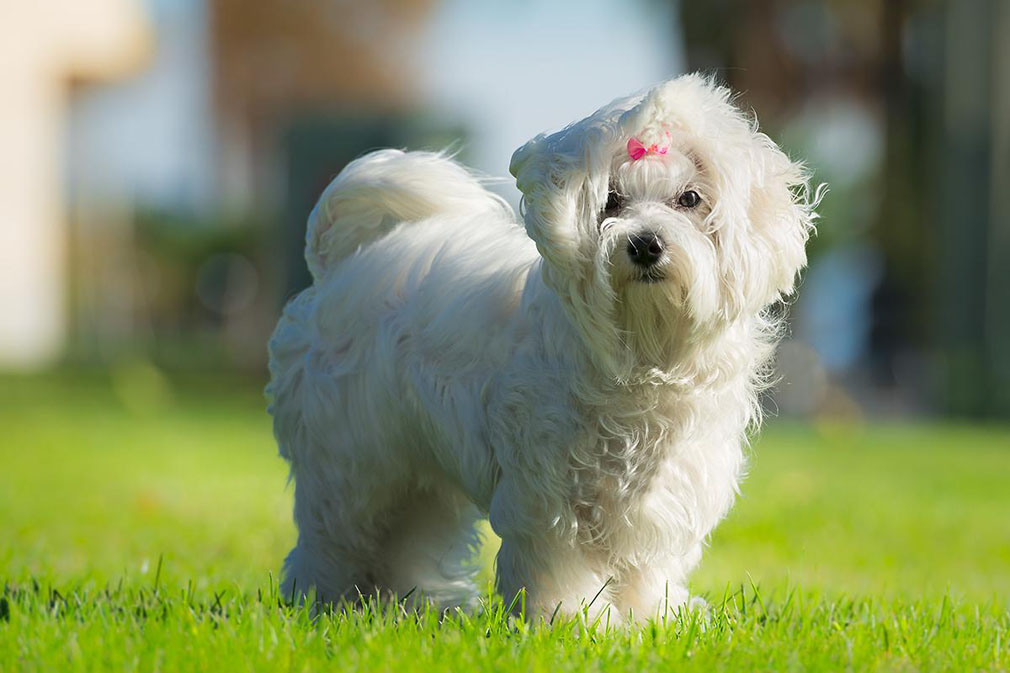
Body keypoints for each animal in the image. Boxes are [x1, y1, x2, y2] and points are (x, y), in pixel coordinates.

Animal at [266, 73, 820, 618]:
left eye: (689, 199)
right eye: (611, 201)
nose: (645, 244)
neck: (644, 351)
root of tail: (339, 266)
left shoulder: (664, 492)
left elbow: (646, 567)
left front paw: (651, 619)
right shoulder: (552, 492)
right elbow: (562, 563)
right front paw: (574, 622)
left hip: (414, 467)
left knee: (410, 532)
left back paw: (415, 605)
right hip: (350, 460)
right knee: (336, 535)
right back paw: (323, 604)